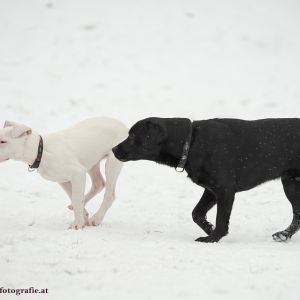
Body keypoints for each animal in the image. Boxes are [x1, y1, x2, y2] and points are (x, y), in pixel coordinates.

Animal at [112, 118, 300, 243]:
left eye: (132, 135)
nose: (113, 149)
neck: (191, 142)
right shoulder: (211, 190)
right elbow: (196, 213)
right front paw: (210, 229)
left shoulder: (225, 190)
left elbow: (221, 219)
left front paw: (213, 238)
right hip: (291, 183)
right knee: (297, 215)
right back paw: (284, 235)